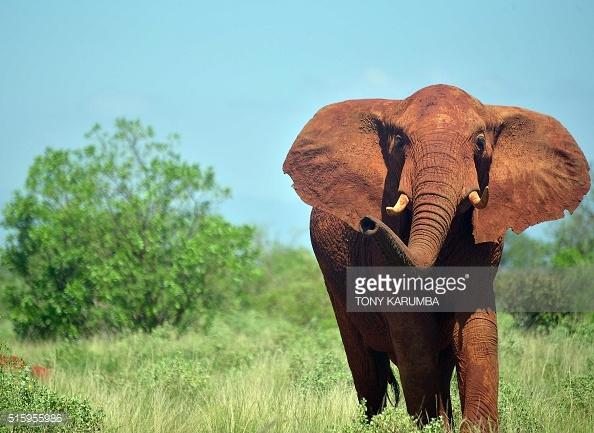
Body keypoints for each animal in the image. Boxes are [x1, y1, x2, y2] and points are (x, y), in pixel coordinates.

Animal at [282, 85, 588, 432]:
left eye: (480, 143)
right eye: (399, 143)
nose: (368, 222)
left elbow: (477, 332)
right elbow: (413, 334)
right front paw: (431, 426)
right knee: (367, 368)